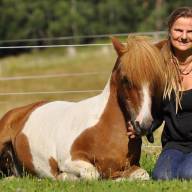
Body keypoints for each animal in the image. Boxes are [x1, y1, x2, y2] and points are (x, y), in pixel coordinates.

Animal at [0, 35, 166, 180]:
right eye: (126, 79)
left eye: (156, 80)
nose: (144, 125)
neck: (104, 128)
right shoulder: (70, 160)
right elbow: (92, 174)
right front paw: (64, 177)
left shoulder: (130, 166)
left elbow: (142, 175)